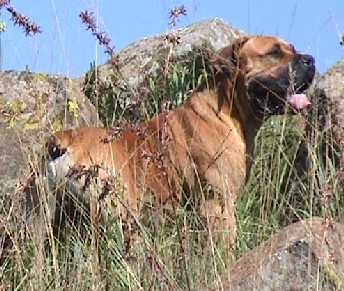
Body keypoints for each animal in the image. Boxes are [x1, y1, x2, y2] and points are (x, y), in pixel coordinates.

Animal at [43, 35, 314, 250]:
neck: (227, 113)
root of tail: (63, 140)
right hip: (121, 213)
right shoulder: (217, 203)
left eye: (292, 47)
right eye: (273, 52)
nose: (310, 60)